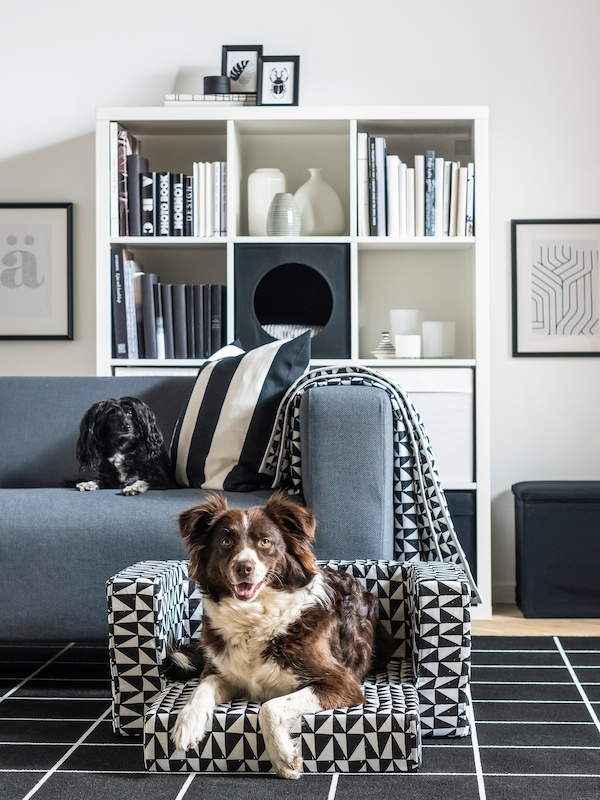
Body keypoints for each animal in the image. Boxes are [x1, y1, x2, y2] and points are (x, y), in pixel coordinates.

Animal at [171, 490, 392, 780]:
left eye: (265, 541)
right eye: (226, 541)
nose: (244, 567)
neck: (254, 617)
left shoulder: (342, 684)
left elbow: (270, 706)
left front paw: (284, 757)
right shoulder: (223, 670)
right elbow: (202, 686)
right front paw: (187, 723)